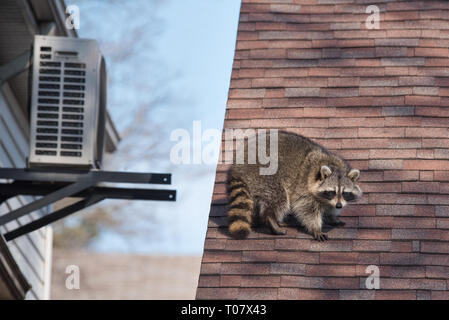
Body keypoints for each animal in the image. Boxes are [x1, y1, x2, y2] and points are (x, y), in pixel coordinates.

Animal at [228, 131, 360, 241]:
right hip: (264, 174)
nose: (339, 206)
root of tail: (238, 166)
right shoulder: (303, 186)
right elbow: (306, 209)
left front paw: (333, 217)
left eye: (345, 193)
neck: (333, 165)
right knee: (278, 197)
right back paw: (271, 218)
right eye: (332, 191)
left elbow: (330, 207)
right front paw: (316, 228)